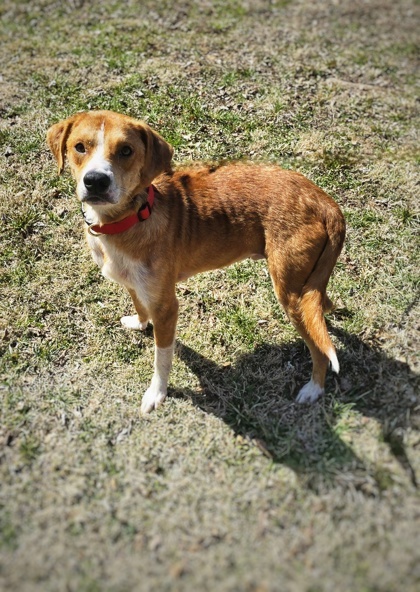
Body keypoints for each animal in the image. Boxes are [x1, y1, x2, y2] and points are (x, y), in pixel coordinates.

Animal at [47, 112, 346, 416]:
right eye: (80, 147)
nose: (95, 181)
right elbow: (139, 306)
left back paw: (314, 389)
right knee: (323, 308)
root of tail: (326, 202)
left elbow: (162, 360)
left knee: (320, 348)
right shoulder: (133, 284)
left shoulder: (167, 308)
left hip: (289, 292)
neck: (130, 218)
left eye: (126, 151)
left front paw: (157, 394)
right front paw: (139, 323)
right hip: (307, 285)